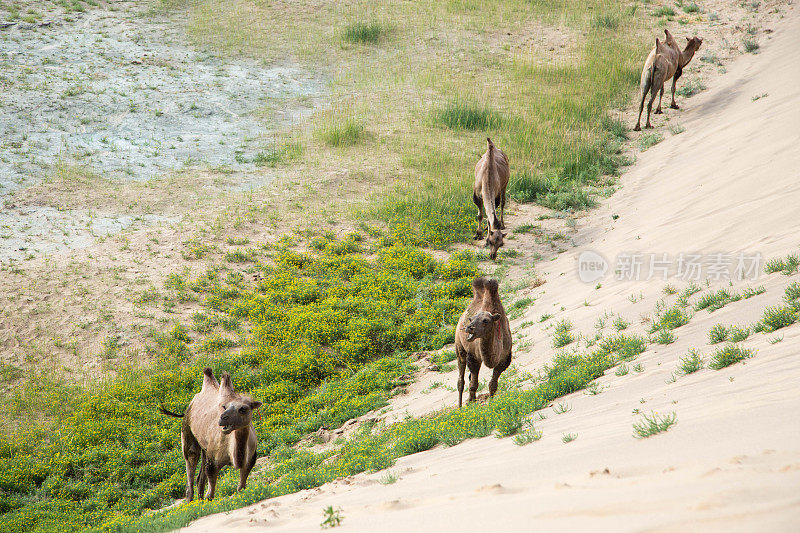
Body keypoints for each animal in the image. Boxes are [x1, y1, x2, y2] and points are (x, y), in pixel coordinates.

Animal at [160, 368, 262, 500]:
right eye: (225, 407)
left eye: (243, 409)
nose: (222, 418)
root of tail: (189, 407)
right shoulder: (213, 461)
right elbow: (210, 494)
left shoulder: (250, 460)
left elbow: (241, 487)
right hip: (188, 434)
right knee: (191, 466)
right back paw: (191, 500)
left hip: (205, 448)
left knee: (199, 479)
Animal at [456, 276, 512, 406]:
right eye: (471, 318)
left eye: (485, 320)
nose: (469, 327)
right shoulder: (473, 357)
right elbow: (473, 385)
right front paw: (472, 404)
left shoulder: (504, 360)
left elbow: (493, 384)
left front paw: (492, 402)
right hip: (459, 347)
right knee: (461, 380)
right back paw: (460, 406)